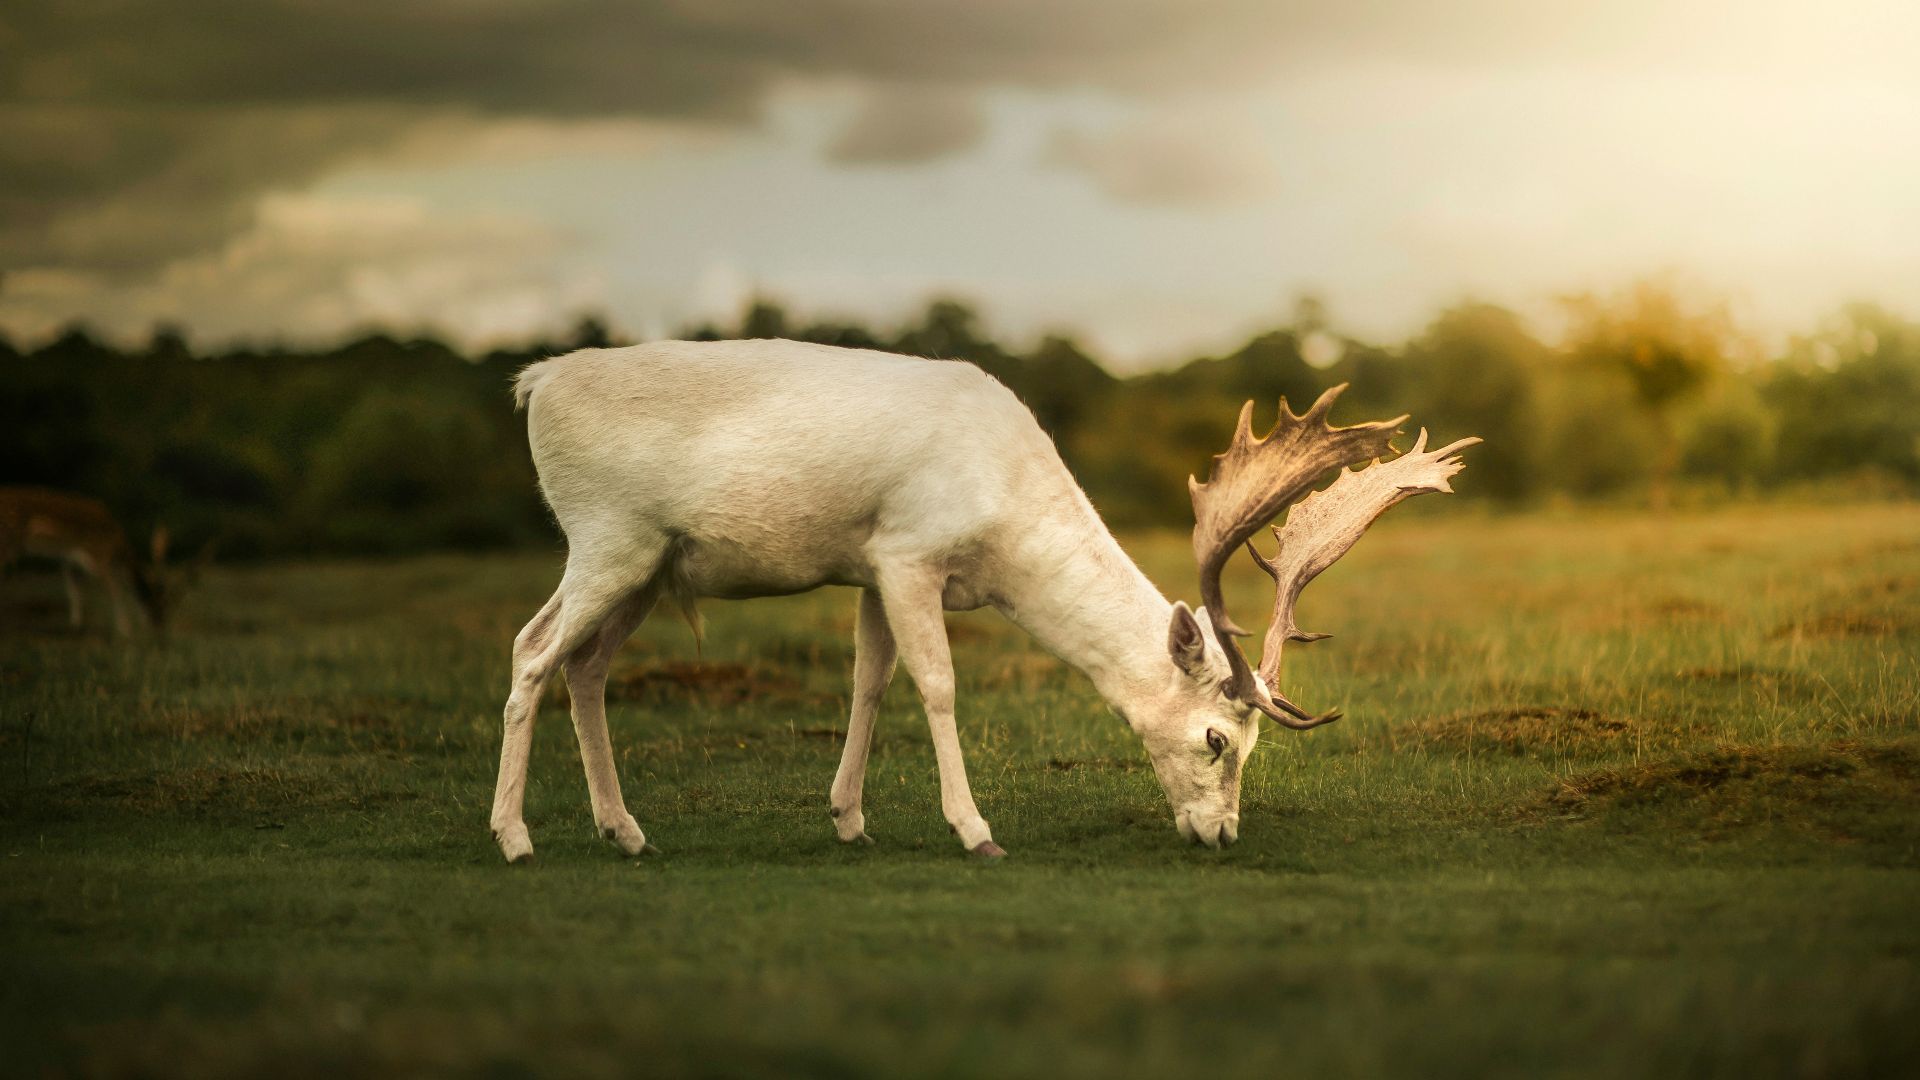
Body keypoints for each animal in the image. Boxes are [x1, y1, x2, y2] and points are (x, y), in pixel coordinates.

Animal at [0, 487, 193, 636]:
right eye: (157, 604)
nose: (159, 627)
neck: (117, 543)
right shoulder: (98, 557)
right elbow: (116, 589)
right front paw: (125, 629)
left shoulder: (71, 562)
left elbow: (74, 591)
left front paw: (76, 626)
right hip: (10, 542)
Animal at [491, 338, 1478, 862]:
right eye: (1215, 739)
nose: (1222, 835)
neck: (1004, 529)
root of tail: (534, 384)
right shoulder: (908, 553)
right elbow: (935, 686)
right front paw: (975, 831)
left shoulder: (872, 569)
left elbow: (868, 683)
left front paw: (848, 820)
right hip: (606, 536)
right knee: (532, 651)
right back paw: (515, 836)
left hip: (650, 566)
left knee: (584, 667)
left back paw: (626, 831)